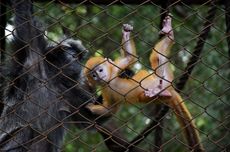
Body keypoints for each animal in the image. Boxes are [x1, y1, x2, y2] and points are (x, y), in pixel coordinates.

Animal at [84, 15, 203, 151]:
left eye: (100, 70)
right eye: (93, 75)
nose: (99, 76)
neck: (109, 80)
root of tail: (170, 88)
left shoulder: (114, 68)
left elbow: (129, 58)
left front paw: (126, 34)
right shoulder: (105, 89)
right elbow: (111, 109)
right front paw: (90, 107)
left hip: (164, 77)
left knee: (156, 57)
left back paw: (169, 33)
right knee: (149, 82)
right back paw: (159, 91)